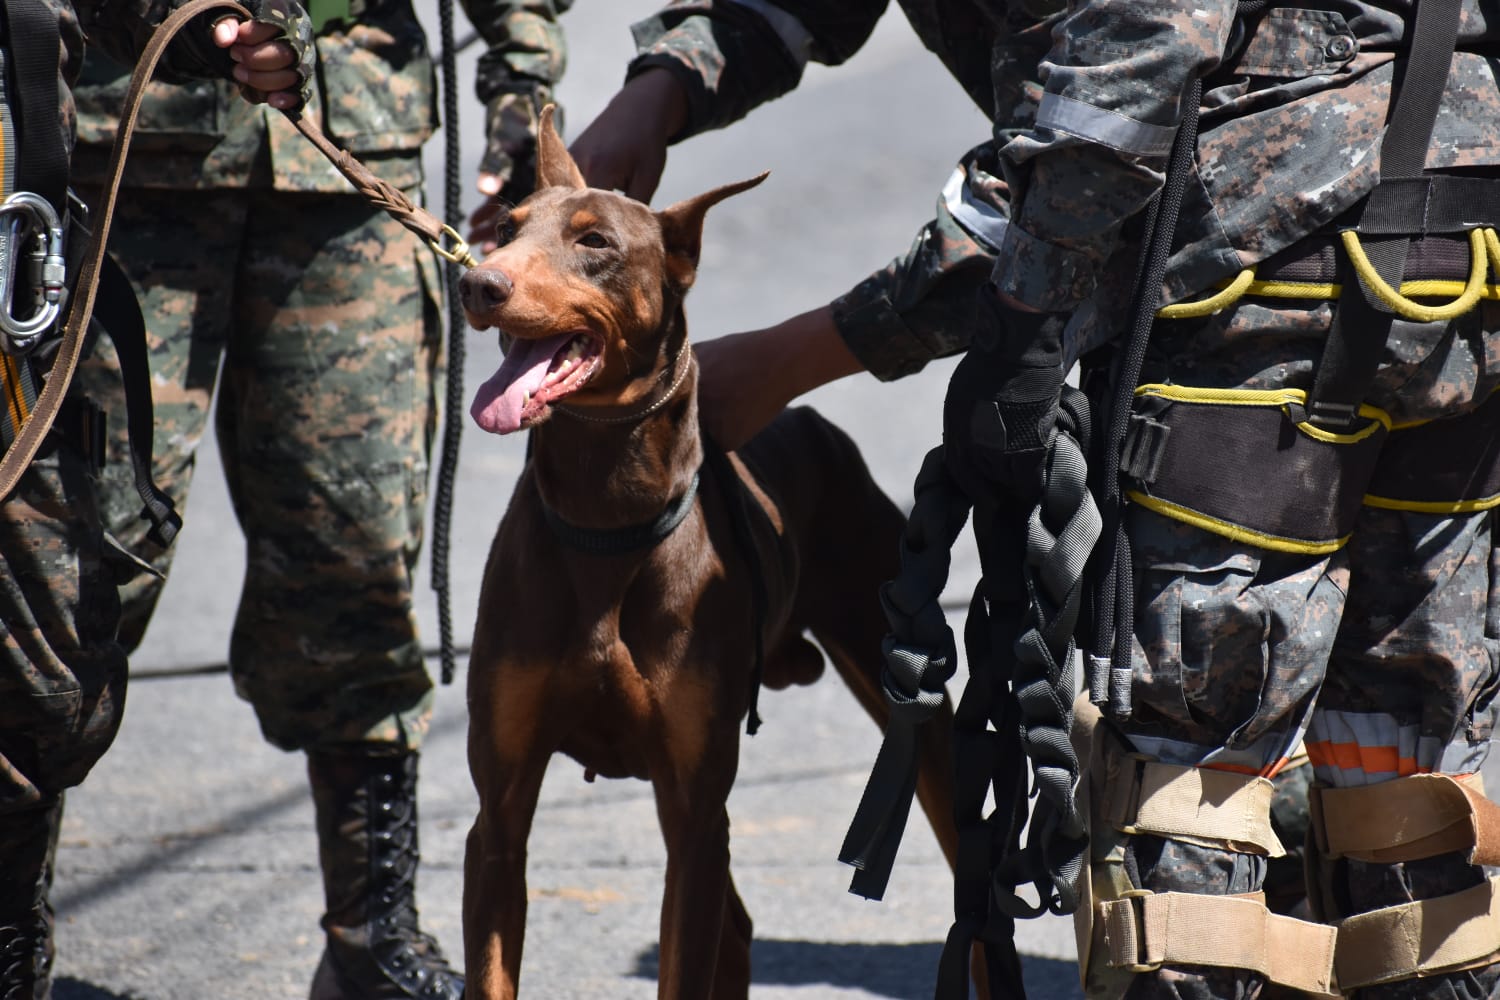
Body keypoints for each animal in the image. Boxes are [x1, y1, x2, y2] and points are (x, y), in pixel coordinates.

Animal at [456, 109, 960, 1000]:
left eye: (594, 241)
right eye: (507, 230)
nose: (480, 285)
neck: (608, 515)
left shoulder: (694, 809)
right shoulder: (501, 814)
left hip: (910, 707)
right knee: (739, 926)